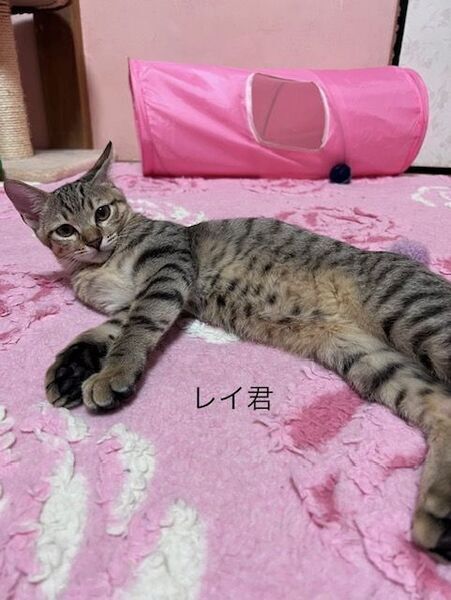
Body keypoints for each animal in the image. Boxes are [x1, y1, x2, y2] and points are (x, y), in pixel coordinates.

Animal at [5, 142, 451, 561]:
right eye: (65, 230)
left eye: (101, 213)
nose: (95, 240)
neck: (100, 266)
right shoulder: (132, 302)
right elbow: (101, 332)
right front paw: (70, 370)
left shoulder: (167, 272)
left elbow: (136, 330)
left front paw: (113, 374)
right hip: (366, 358)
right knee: (442, 407)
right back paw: (438, 511)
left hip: (416, 318)